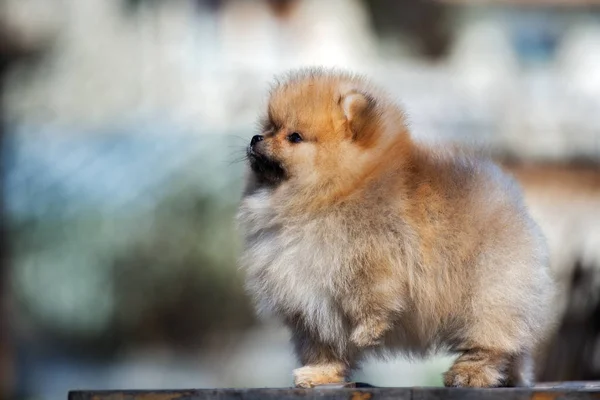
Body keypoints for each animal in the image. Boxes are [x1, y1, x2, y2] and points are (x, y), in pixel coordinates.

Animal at [237, 68, 556, 388]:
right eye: (268, 127)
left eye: (294, 137)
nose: (255, 138)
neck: (339, 191)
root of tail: (510, 198)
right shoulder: (309, 302)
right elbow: (322, 345)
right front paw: (320, 372)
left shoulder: (377, 262)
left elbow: (376, 301)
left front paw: (367, 332)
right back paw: (512, 376)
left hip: (489, 289)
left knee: (490, 340)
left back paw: (468, 373)